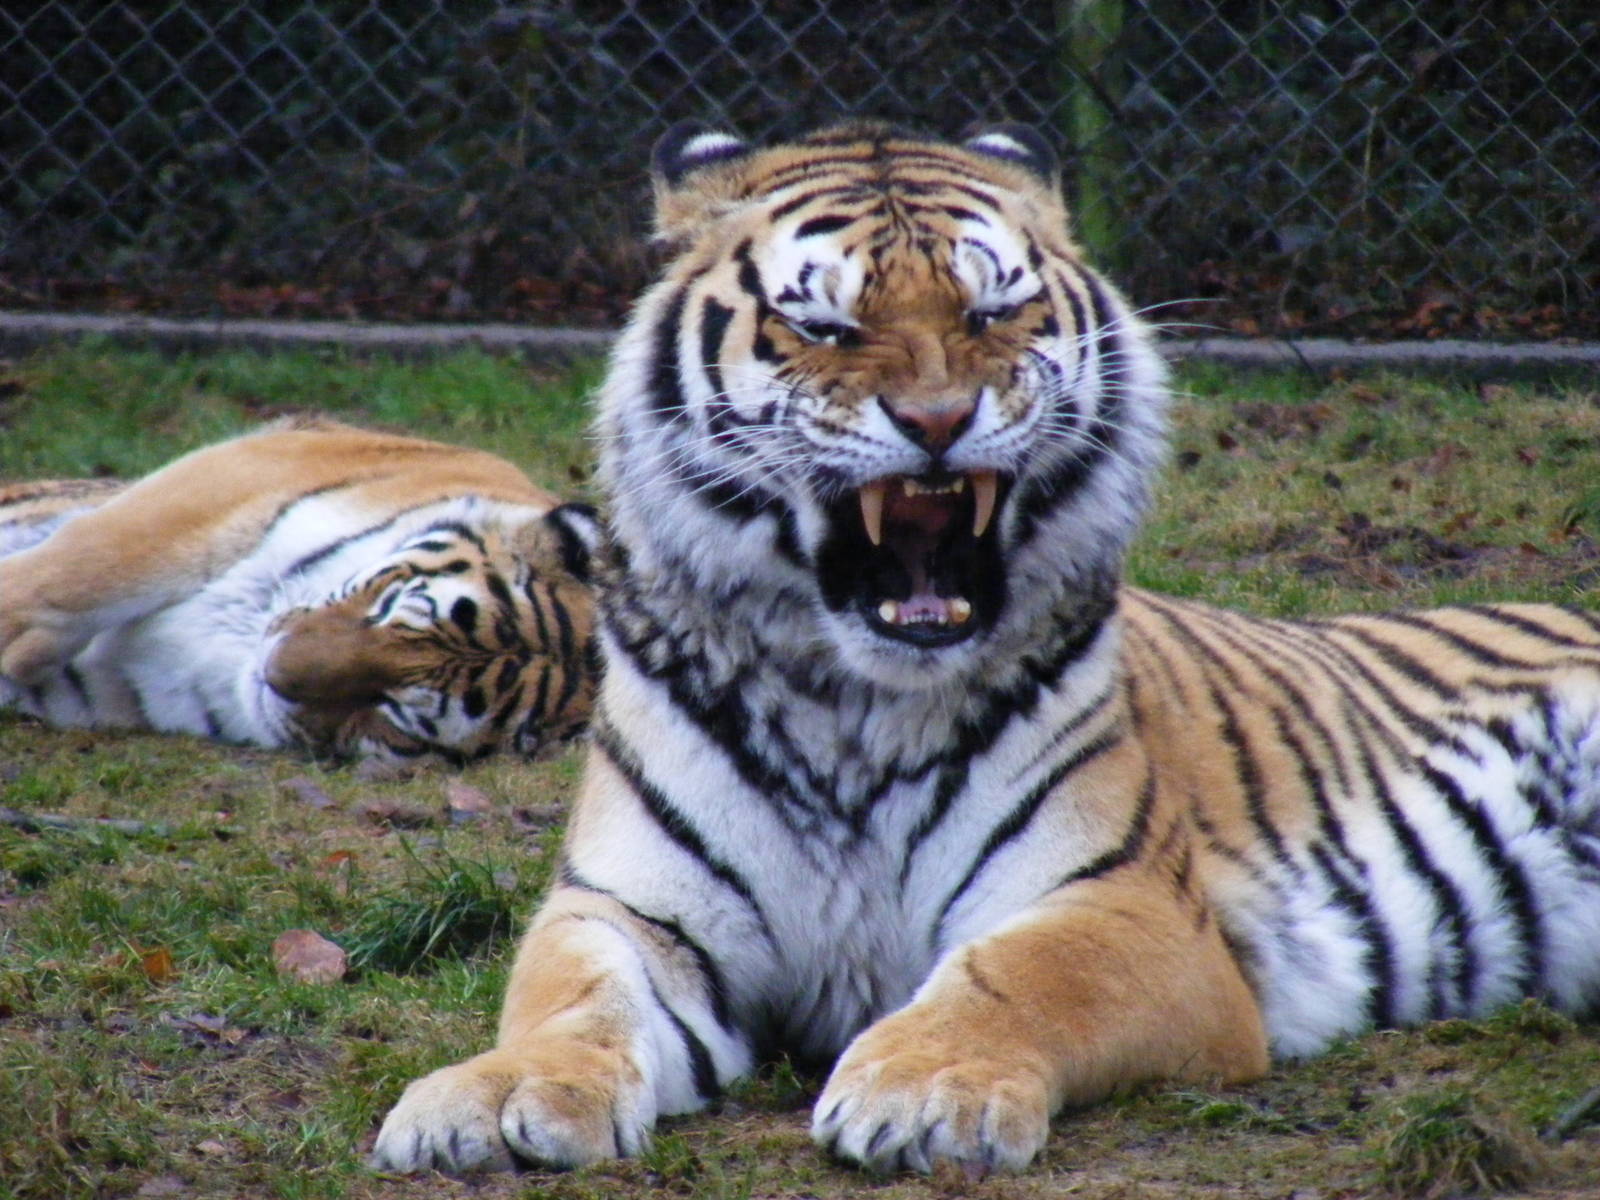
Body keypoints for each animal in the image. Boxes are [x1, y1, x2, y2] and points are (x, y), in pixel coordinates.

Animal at [369, 121, 1600, 1176]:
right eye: (824, 327)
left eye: (991, 312)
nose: (936, 421)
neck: (851, 706)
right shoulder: (628, 911)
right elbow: (572, 1001)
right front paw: (492, 1100)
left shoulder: (1125, 904)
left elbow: (1017, 975)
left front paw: (925, 1091)